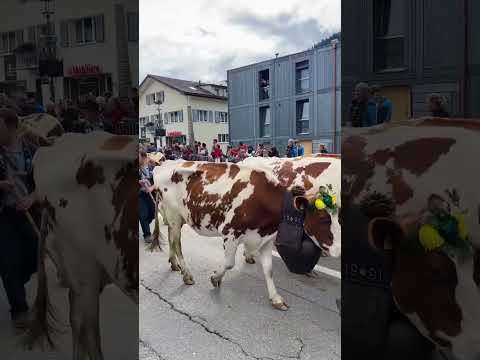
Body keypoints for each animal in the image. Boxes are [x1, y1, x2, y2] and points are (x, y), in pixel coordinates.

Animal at [152, 160, 340, 310]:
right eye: (323, 219)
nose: (338, 250)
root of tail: (164, 165)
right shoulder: (230, 233)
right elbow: (229, 263)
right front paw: (215, 278)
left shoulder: (266, 239)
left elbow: (269, 270)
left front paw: (275, 298)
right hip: (174, 215)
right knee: (177, 244)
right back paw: (187, 274)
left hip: (176, 218)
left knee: (171, 238)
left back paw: (174, 264)